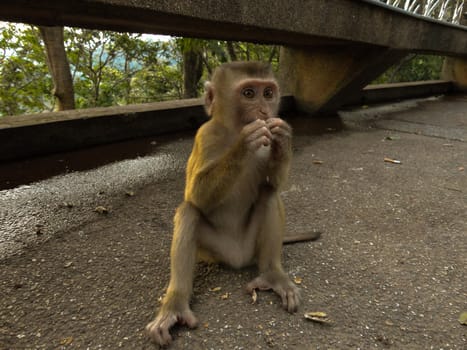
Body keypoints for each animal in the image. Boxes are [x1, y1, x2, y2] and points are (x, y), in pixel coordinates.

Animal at [146, 60, 320, 344]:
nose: (264, 111)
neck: (231, 131)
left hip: (251, 246)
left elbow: (274, 183)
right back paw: (175, 304)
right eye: (249, 93)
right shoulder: (204, 136)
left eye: (268, 93)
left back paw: (273, 274)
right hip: (214, 251)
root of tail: (237, 258)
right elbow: (196, 196)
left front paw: (283, 137)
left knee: (269, 194)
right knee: (189, 211)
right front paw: (244, 143)